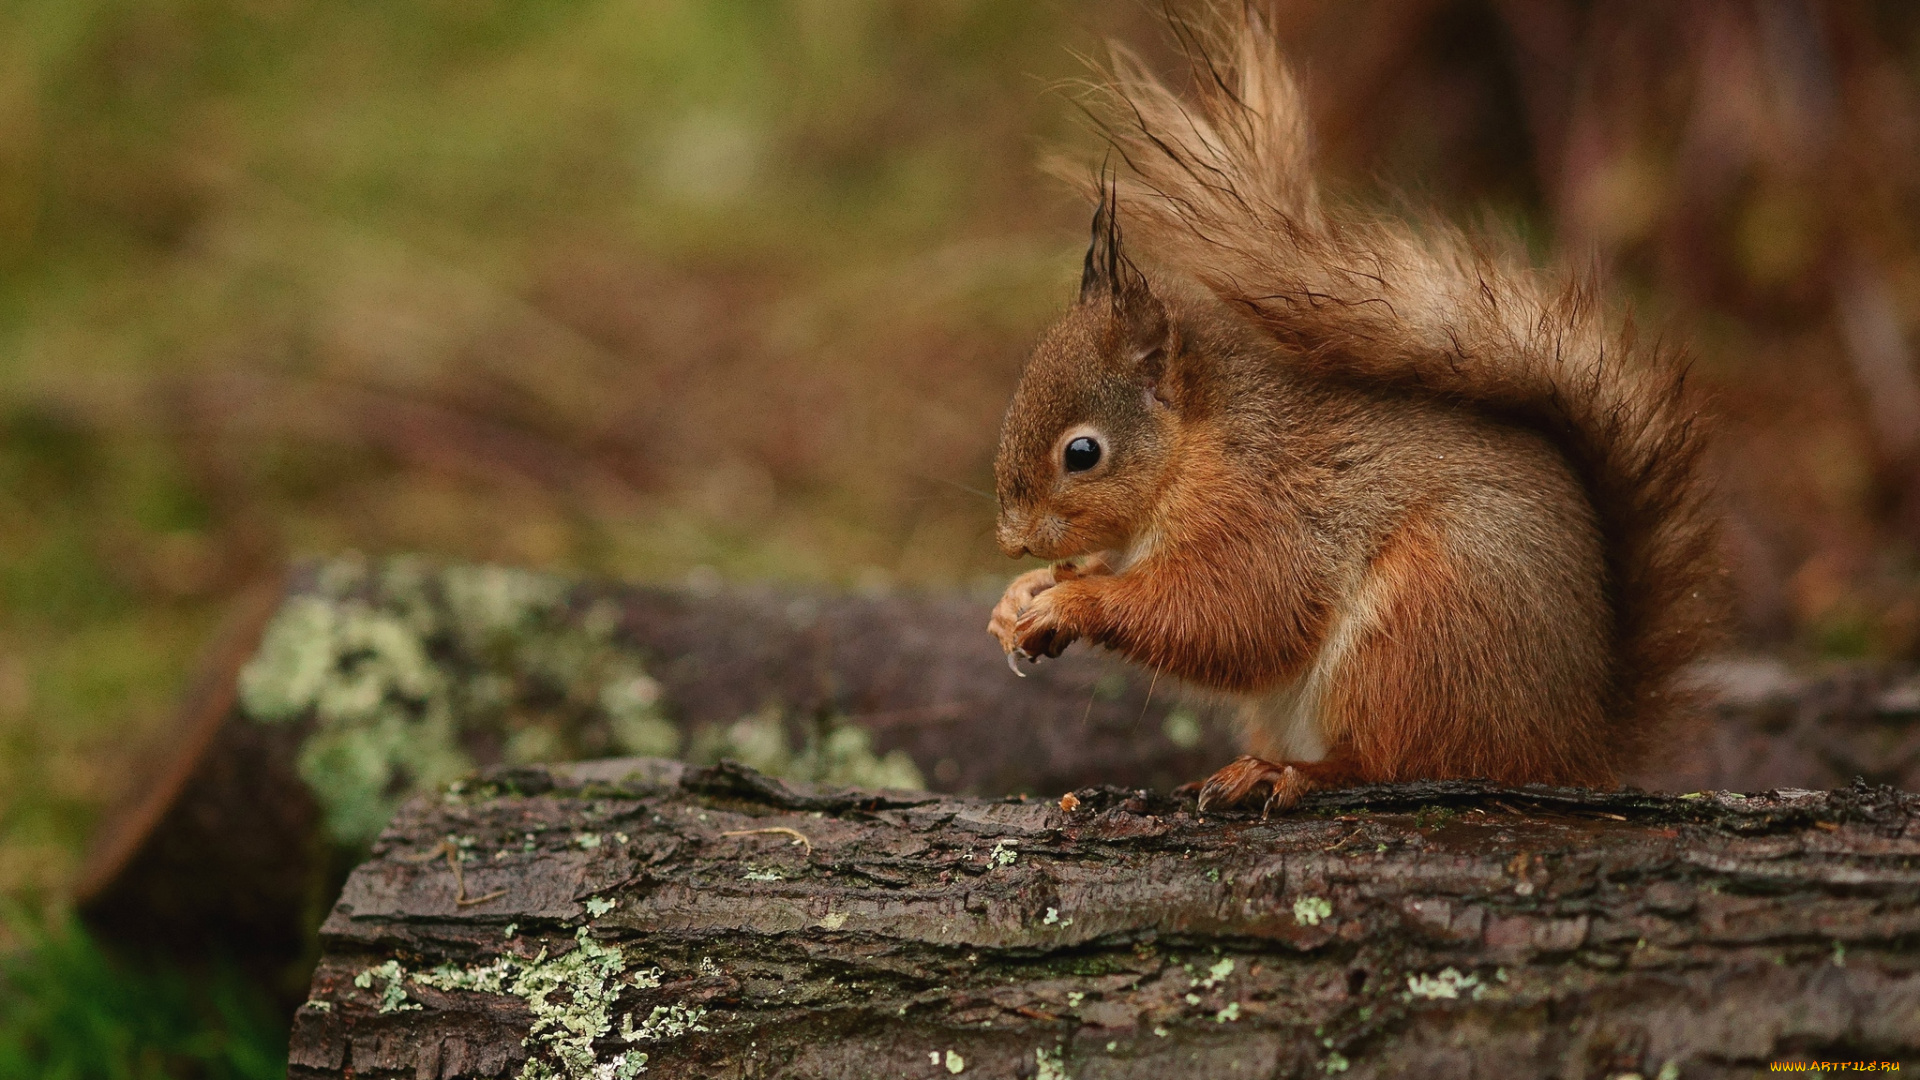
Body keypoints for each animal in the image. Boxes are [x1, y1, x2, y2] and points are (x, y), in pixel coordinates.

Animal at [983, 12, 1720, 810]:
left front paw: (1072, 603)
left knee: (1394, 758)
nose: (1011, 539)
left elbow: (1236, 614)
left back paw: (1289, 773)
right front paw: (1023, 596)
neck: (1195, 448)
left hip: (1422, 632)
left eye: (1082, 453)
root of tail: (1575, 743)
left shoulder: (1259, 513)